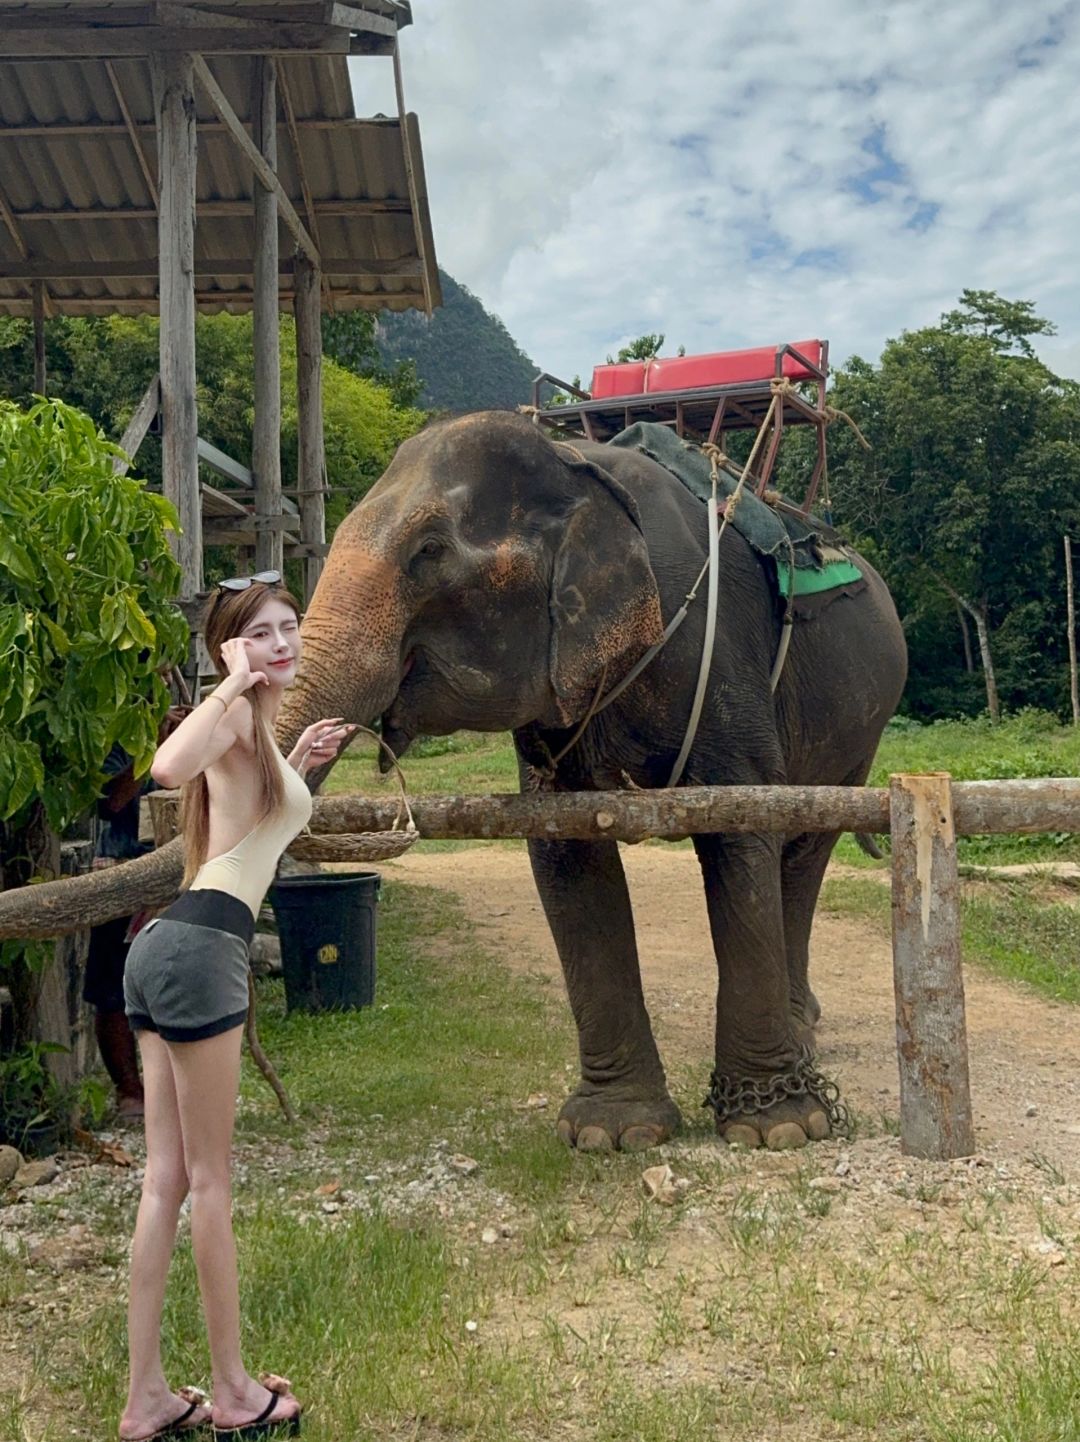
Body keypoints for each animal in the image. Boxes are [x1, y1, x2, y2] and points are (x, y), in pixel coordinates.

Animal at [275, 415, 899, 1147]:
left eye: (429, 551)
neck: (573, 462)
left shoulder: (721, 664)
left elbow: (742, 830)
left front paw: (778, 1131)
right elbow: (565, 852)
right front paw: (613, 1134)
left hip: (861, 734)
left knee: (803, 851)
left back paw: (800, 1045)